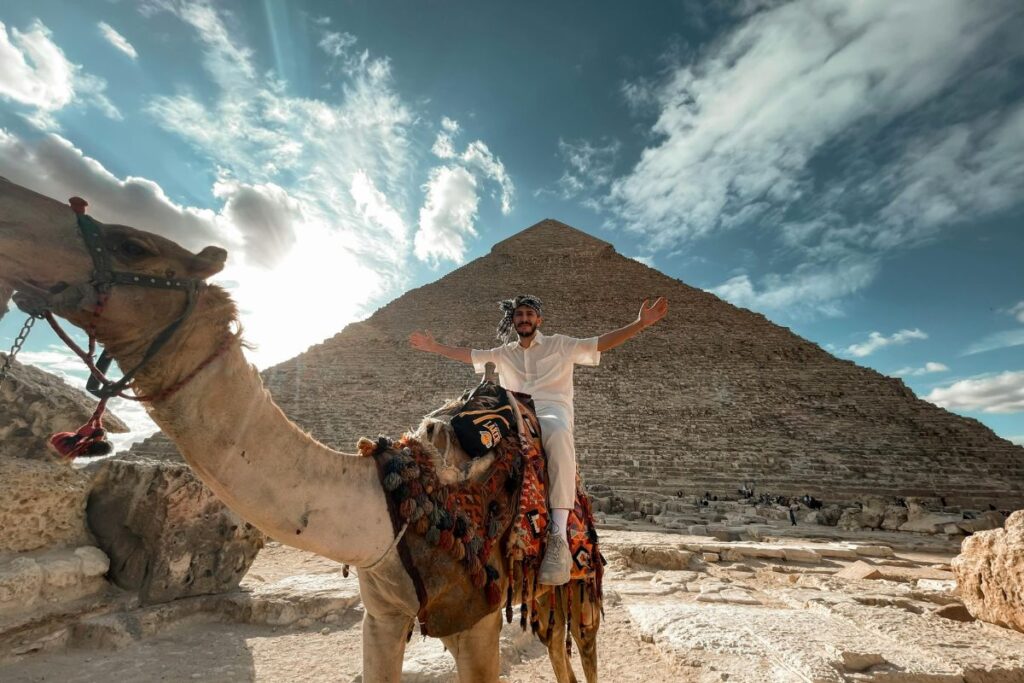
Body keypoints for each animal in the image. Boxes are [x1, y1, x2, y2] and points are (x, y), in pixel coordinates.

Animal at [0, 178, 598, 683]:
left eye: (131, 246)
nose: (12, 208)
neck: (394, 502)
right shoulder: (381, 617)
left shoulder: (476, 624)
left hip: (567, 588)